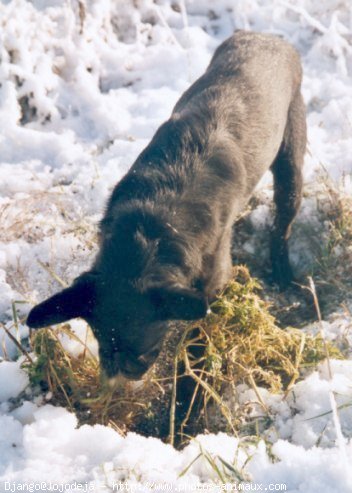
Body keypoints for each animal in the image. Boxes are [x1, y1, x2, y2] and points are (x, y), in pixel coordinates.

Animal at [26, 31, 306, 380]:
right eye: (100, 336)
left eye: (145, 340)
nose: (122, 374)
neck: (155, 224)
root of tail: (267, 37)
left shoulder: (214, 279)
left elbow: (199, 335)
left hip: (291, 162)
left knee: (283, 222)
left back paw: (282, 270)